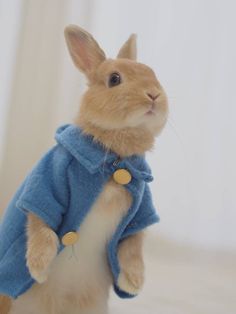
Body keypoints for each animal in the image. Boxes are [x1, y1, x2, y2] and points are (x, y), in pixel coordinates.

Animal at [0, 25, 169, 314]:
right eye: (114, 79)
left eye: (153, 74)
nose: (154, 95)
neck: (114, 158)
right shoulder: (46, 186)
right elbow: (41, 224)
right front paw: (38, 268)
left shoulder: (139, 213)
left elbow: (133, 244)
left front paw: (134, 282)